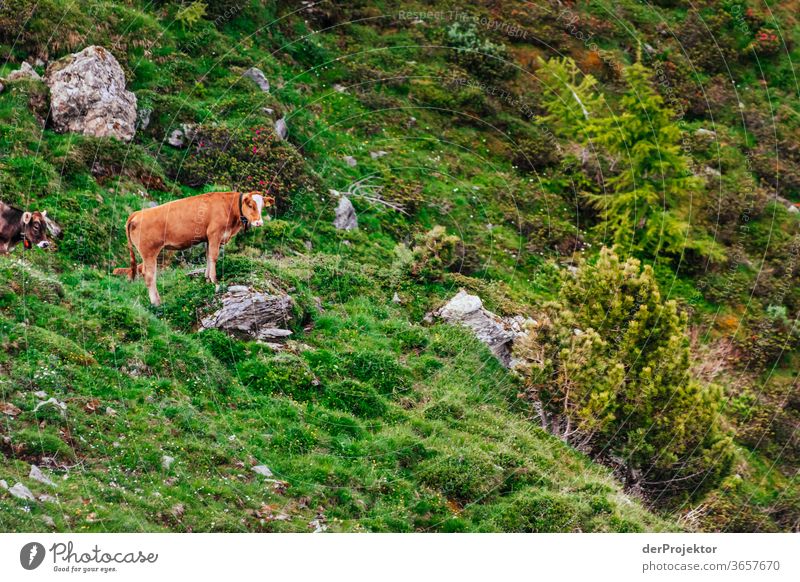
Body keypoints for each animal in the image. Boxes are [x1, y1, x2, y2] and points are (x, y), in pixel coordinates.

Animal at [114, 193, 274, 310]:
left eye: (262, 207)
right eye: (250, 205)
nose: (259, 222)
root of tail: (136, 214)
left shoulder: (208, 238)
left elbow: (208, 257)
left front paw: (207, 279)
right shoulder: (215, 234)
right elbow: (214, 257)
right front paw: (215, 282)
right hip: (149, 252)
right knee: (149, 276)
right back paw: (157, 303)